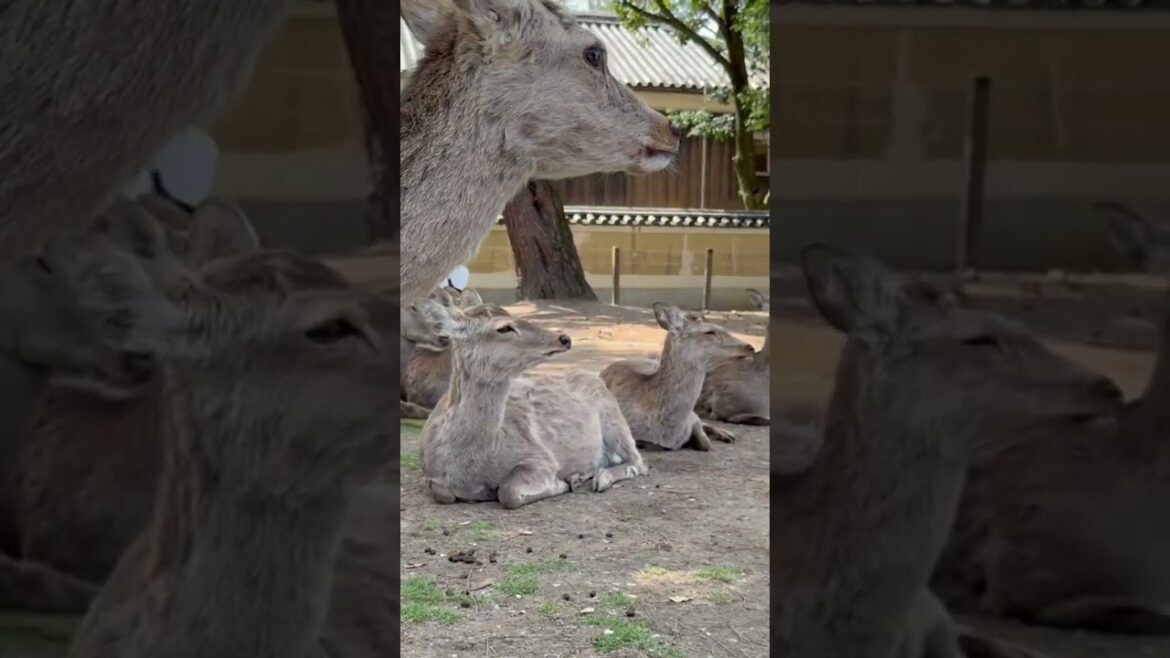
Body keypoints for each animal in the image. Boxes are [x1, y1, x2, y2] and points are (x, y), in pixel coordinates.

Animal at [413, 298, 649, 509]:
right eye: (504, 328)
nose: (563, 338)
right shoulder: (432, 475)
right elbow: (442, 494)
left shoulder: (541, 456)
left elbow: (508, 492)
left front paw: (560, 484)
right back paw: (580, 477)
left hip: (614, 420)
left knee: (638, 461)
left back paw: (598, 479)